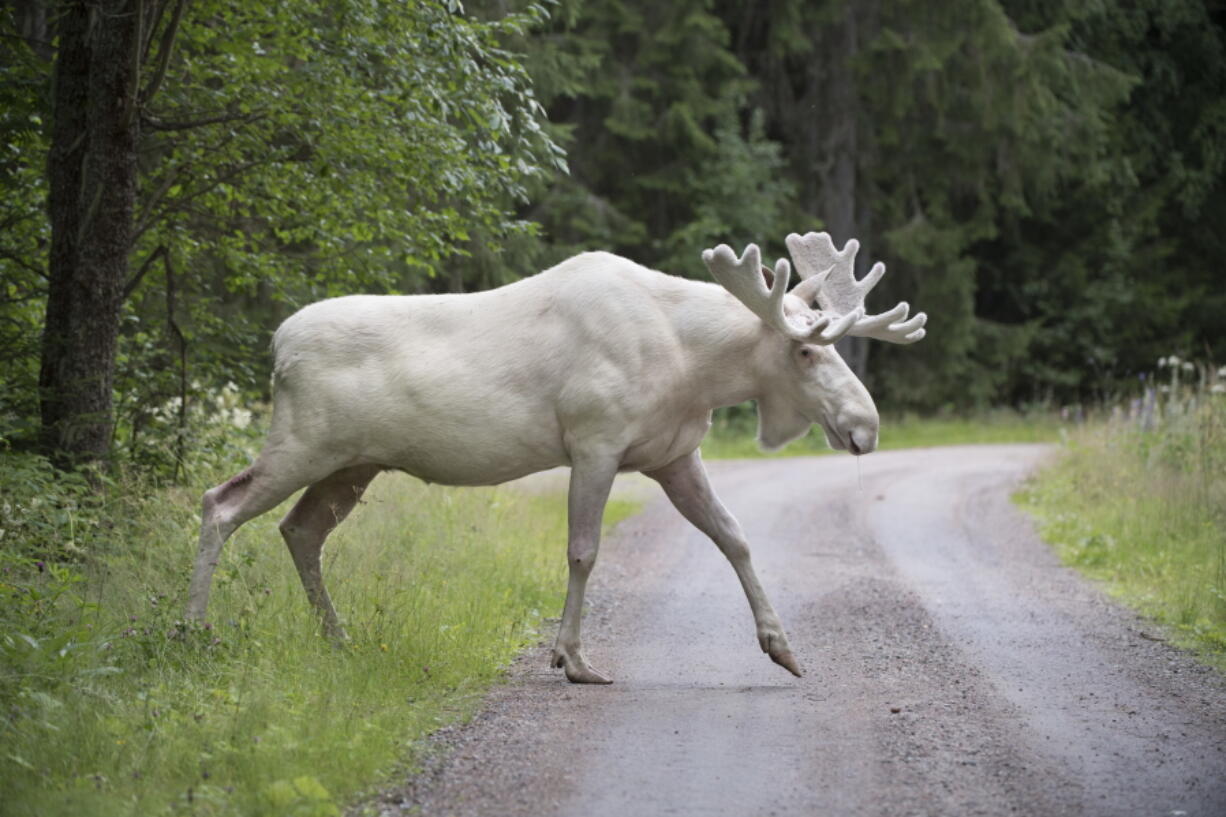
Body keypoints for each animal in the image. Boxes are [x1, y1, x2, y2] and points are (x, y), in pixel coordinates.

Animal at [186, 229, 921, 682]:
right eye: (805, 350)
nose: (865, 426)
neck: (693, 366)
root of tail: (277, 345)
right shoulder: (594, 440)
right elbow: (583, 551)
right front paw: (572, 658)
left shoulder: (674, 454)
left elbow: (735, 537)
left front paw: (782, 647)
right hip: (304, 442)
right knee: (219, 502)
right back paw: (193, 631)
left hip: (352, 464)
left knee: (299, 529)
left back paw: (337, 638)